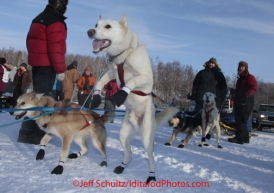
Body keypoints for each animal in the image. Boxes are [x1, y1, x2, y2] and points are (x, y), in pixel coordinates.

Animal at [86, 14, 179, 183]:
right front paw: (96, 96)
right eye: (96, 25)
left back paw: (151, 175)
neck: (124, 56)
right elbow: (101, 82)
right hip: (123, 135)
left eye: (107, 26)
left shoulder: (146, 79)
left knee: (151, 158)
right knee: (129, 153)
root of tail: (137, 126)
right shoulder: (111, 73)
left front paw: (122, 93)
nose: (90, 31)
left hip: (147, 140)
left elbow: (132, 81)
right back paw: (122, 166)